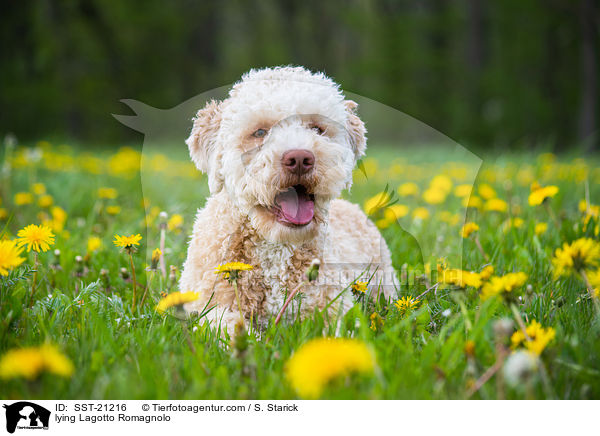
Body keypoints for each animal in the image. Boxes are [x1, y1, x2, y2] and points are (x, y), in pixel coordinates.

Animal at [179, 66, 394, 336]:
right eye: (260, 132)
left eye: (317, 129)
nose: (300, 158)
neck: (276, 246)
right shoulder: (204, 304)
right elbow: (228, 326)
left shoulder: (335, 306)